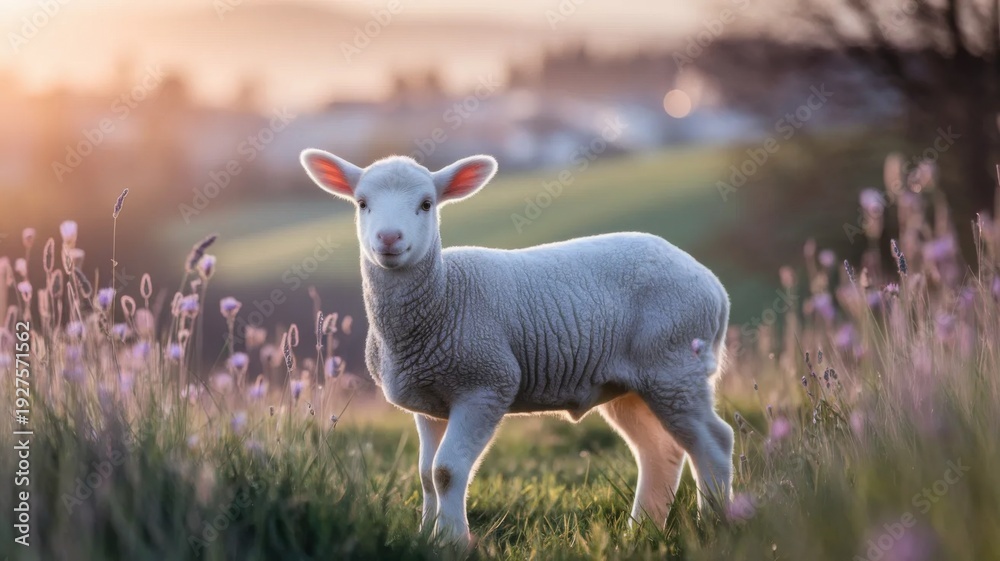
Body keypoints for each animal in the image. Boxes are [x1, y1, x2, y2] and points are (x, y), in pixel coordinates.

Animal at [299, 150, 734, 546]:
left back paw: (713, 524)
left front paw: (451, 541)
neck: (443, 295)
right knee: (659, 451)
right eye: (362, 203)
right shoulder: (428, 402)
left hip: (675, 366)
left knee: (714, 442)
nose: (389, 239)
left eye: (426, 204)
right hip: (635, 384)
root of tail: (713, 285)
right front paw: (426, 537)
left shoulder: (486, 385)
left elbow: (446, 471)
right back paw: (641, 530)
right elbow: (425, 475)